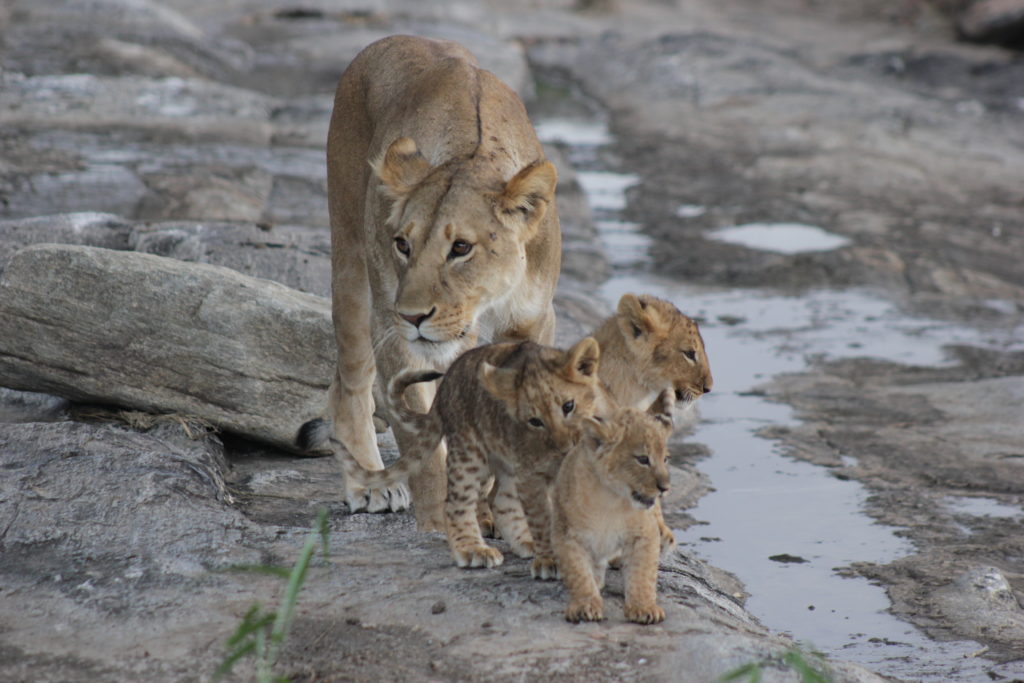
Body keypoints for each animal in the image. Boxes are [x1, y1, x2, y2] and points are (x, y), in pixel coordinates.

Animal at [299, 34, 561, 532]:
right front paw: (444, 521)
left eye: (461, 247)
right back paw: (370, 485)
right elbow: (420, 436)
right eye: (403, 244)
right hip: (353, 266)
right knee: (351, 382)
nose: (414, 316)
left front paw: (505, 510)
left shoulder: (533, 322)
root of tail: (392, 38)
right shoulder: (396, 333)